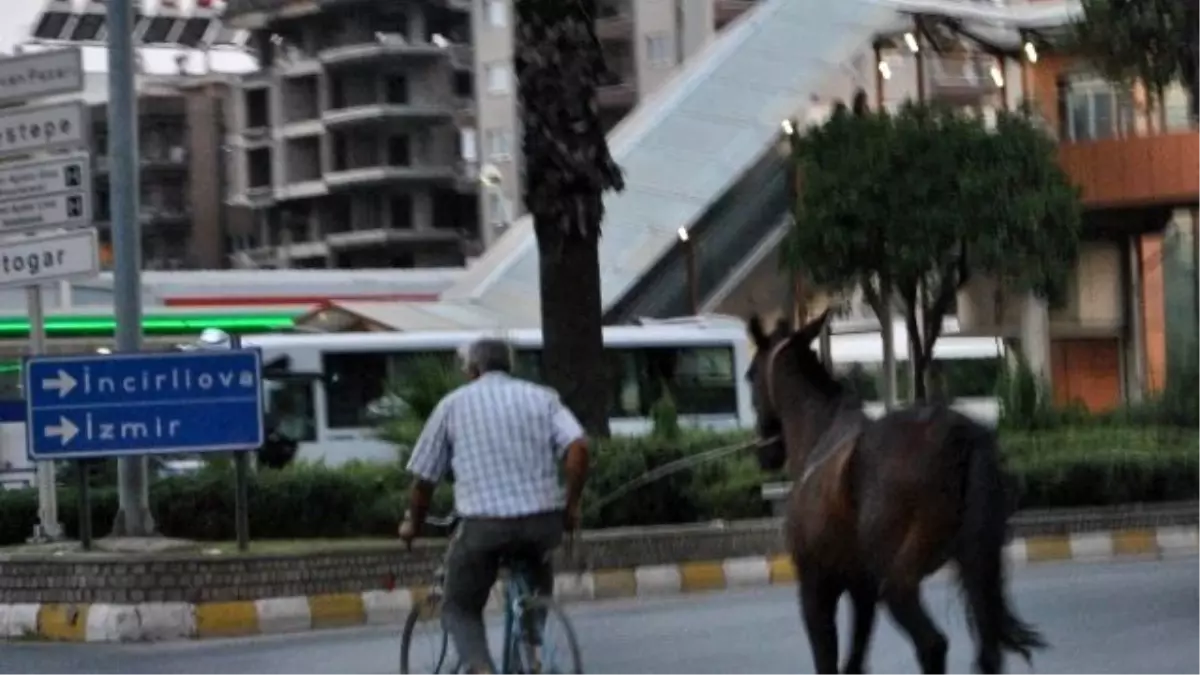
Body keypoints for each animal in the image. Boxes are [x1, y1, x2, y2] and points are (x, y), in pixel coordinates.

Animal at [744, 309, 1046, 672]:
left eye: (749, 376)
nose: (766, 452)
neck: (820, 435)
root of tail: (960, 434)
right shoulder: (862, 589)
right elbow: (854, 662)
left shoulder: (817, 587)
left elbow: (829, 661)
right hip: (976, 564)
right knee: (988, 651)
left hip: (898, 580)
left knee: (932, 644)